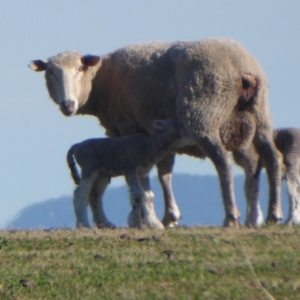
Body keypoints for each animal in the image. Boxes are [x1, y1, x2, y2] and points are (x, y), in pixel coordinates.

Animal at [29, 38, 282, 229]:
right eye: (50, 73)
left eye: (80, 69)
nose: (68, 105)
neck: (100, 81)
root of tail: (240, 65)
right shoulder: (157, 130)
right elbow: (164, 172)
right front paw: (169, 216)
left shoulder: (127, 127)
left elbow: (142, 177)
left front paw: (141, 217)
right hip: (258, 114)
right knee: (270, 159)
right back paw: (269, 215)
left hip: (204, 113)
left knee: (224, 163)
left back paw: (232, 216)